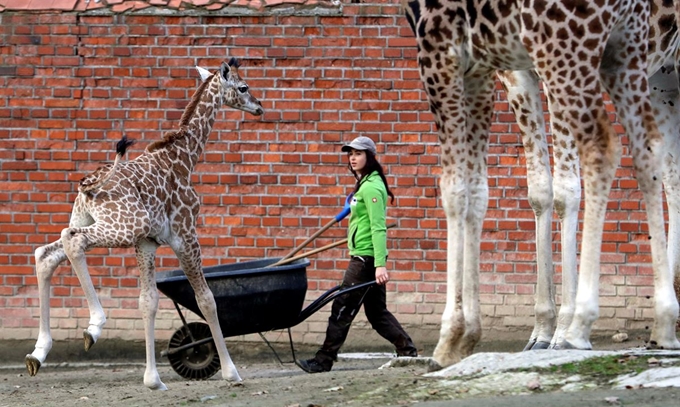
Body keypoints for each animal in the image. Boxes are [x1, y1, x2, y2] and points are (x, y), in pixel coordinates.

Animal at [23, 59, 264, 390]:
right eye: (243, 87)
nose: (259, 107)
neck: (184, 159)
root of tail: (88, 187)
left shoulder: (146, 242)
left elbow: (147, 302)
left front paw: (153, 380)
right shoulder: (185, 234)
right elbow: (206, 300)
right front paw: (232, 373)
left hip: (95, 220)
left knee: (46, 253)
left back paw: (38, 353)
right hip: (124, 225)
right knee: (73, 240)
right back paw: (94, 326)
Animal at [404, 0, 680, 370]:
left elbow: (565, 190)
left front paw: (563, 328)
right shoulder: (512, 72)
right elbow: (537, 191)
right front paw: (542, 331)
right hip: (657, 76)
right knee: (665, 169)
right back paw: (666, 322)